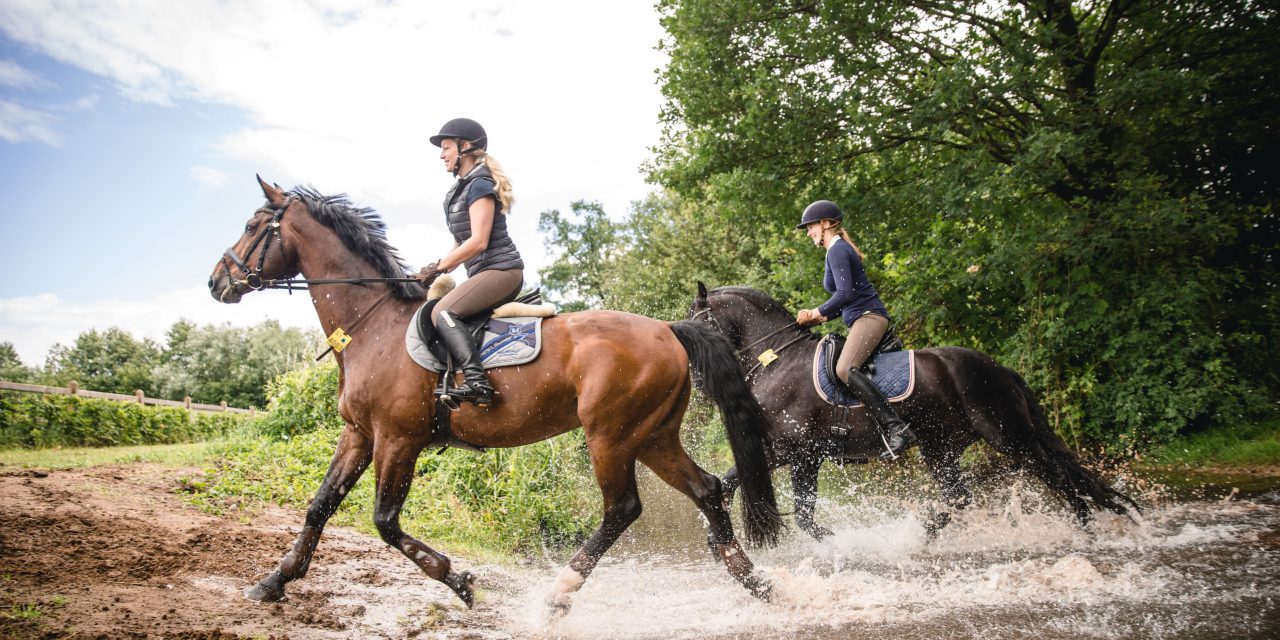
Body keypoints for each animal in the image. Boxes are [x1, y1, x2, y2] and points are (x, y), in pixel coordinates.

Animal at [205, 177, 783, 612]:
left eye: (253, 226)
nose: (216, 281)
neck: (373, 327)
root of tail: (668, 329)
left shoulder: (398, 439)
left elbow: (385, 522)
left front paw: (458, 580)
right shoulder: (359, 435)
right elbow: (319, 507)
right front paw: (272, 582)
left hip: (611, 435)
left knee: (622, 508)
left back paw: (559, 593)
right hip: (653, 435)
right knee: (707, 489)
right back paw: (756, 582)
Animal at [689, 282, 1138, 539]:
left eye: (696, 322)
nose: (696, 380)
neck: (776, 358)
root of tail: (998, 368)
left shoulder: (792, 452)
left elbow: (785, 507)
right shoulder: (796, 455)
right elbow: (771, 501)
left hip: (1008, 435)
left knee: (1057, 476)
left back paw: (1086, 529)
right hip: (942, 446)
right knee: (960, 496)